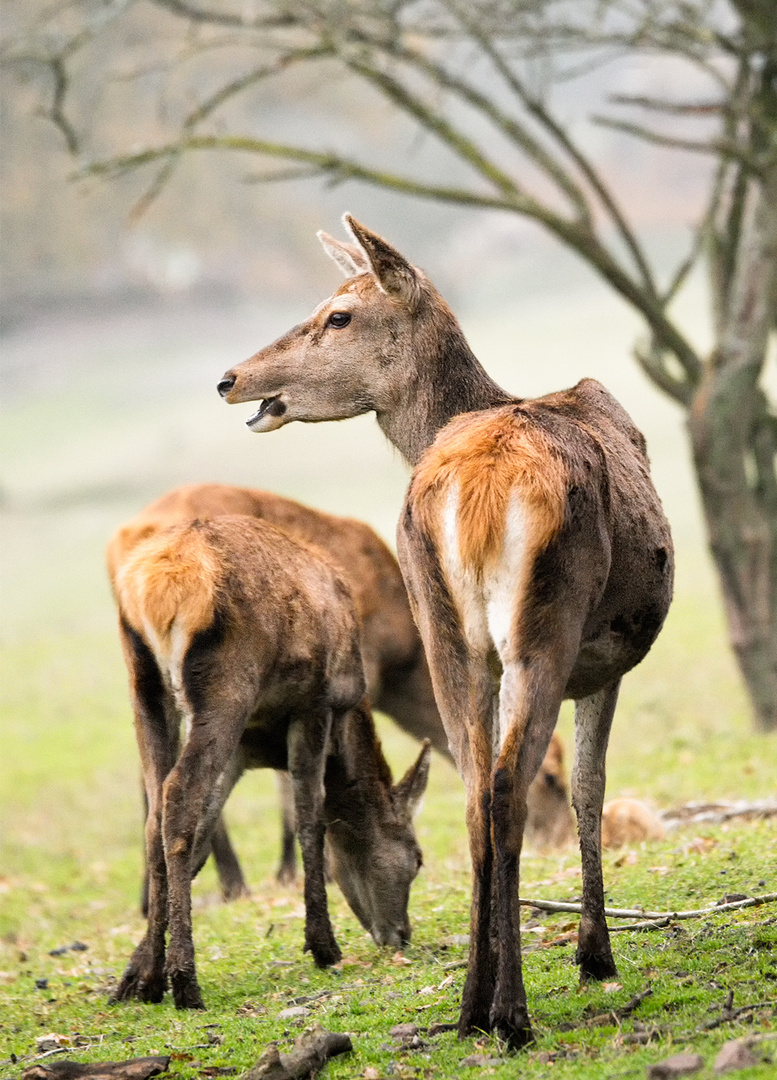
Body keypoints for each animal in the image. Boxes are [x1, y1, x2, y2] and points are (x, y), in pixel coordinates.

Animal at [106, 483, 574, 902]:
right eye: (551, 777)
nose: (559, 840)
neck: (402, 655)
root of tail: (125, 542)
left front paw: (290, 871)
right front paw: (306, 872)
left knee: (152, 776)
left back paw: (155, 896)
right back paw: (232, 883)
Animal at [109, 509, 427, 1006]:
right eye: (417, 858)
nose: (401, 934)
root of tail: (156, 585)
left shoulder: (245, 747)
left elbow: (202, 843)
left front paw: (135, 973)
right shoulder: (314, 705)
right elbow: (309, 817)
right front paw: (323, 945)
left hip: (144, 688)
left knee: (154, 810)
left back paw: (153, 978)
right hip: (227, 685)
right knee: (178, 796)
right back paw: (186, 980)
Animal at [218, 217, 674, 1045]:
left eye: (338, 314)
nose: (230, 378)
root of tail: (478, 486)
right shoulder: (607, 663)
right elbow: (588, 788)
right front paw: (594, 955)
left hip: (444, 629)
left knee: (471, 789)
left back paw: (471, 1006)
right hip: (544, 624)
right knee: (505, 786)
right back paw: (511, 1011)